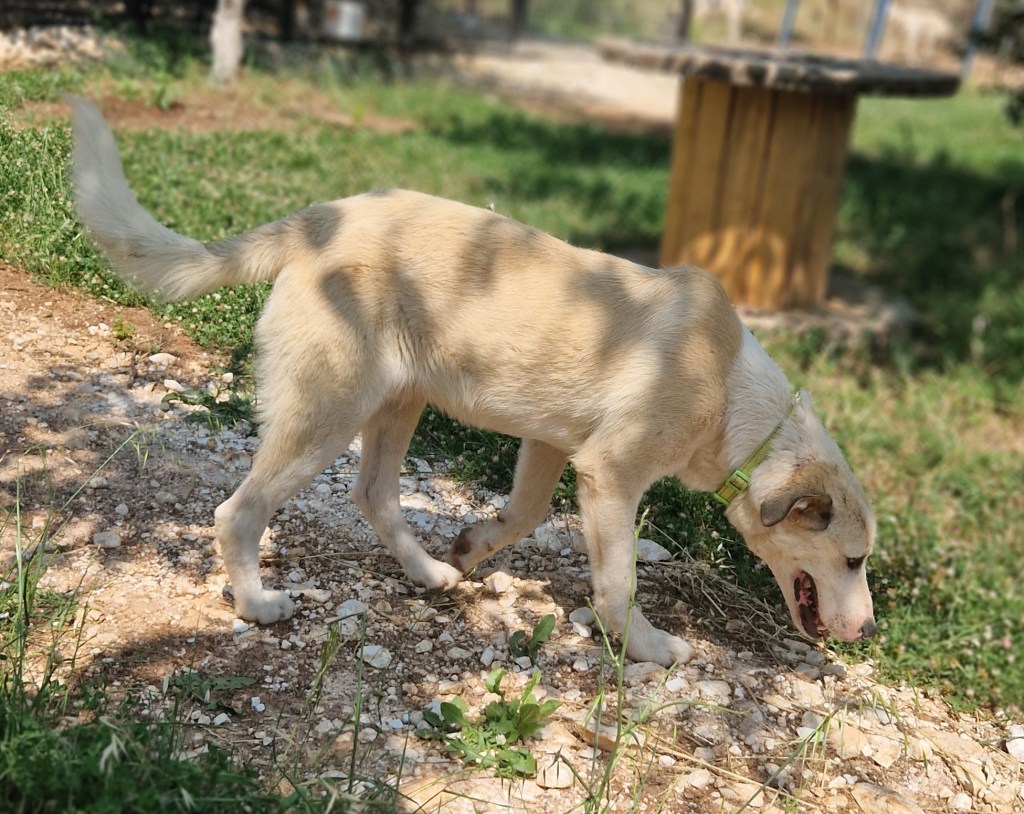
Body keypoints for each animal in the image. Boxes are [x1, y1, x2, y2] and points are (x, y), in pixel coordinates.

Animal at [70, 98, 876, 667]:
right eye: (854, 560)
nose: (868, 634)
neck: (739, 397)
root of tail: (320, 220)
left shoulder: (554, 447)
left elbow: (523, 514)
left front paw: (470, 547)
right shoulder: (612, 474)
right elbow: (618, 585)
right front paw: (646, 649)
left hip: (399, 401)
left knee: (373, 493)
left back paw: (429, 572)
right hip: (328, 410)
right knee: (237, 512)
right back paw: (255, 605)